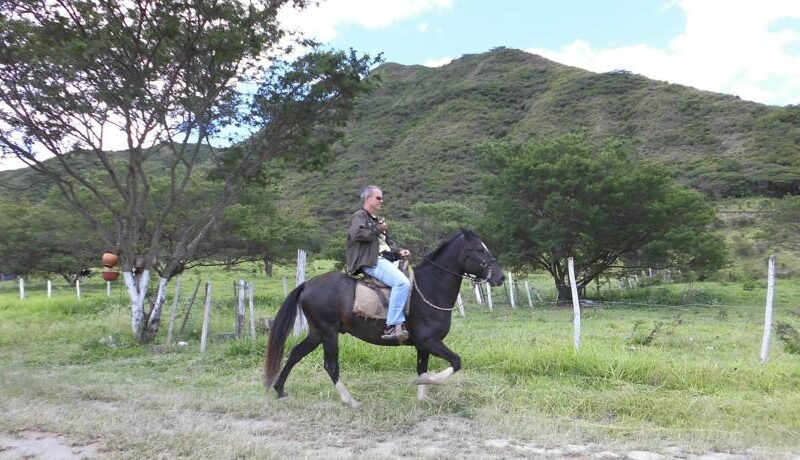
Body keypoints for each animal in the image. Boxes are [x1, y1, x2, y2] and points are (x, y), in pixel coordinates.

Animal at [264, 230, 506, 406]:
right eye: (479, 249)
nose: (500, 276)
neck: (430, 288)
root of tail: (307, 284)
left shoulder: (423, 345)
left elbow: (423, 368)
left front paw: (423, 398)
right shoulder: (430, 341)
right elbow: (455, 362)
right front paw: (426, 382)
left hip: (317, 333)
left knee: (295, 353)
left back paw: (280, 390)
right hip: (329, 333)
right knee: (330, 365)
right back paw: (350, 400)